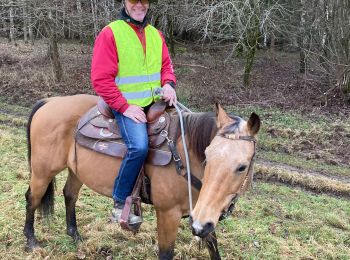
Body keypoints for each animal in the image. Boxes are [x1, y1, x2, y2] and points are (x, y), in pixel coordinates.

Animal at [23, 94, 260, 258]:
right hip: (42, 171)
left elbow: (213, 246)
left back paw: (74, 234)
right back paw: (31, 240)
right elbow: (166, 253)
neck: (184, 155)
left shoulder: (204, 214)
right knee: (32, 199)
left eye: (242, 166)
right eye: (207, 157)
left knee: (70, 195)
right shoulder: (169, 214)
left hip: (76, 170)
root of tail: (49, 101)